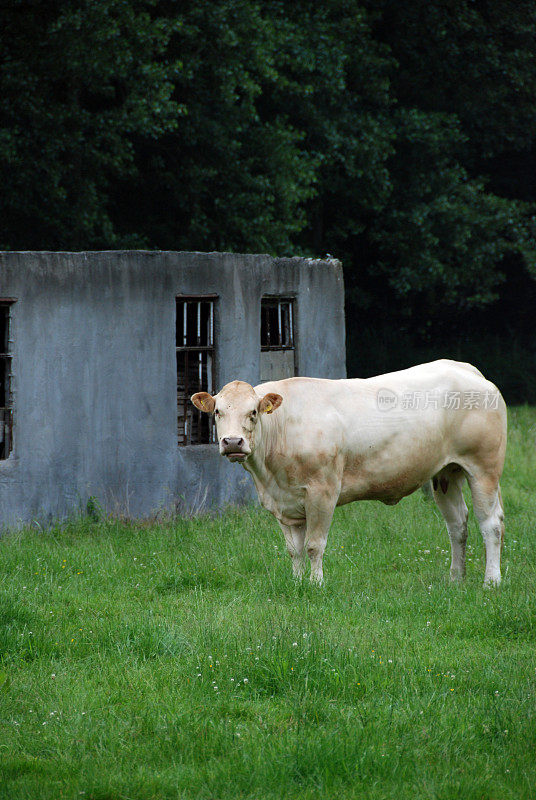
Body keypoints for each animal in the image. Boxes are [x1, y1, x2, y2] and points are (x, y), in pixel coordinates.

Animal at [192, 360, 506, 584]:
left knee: (491, 523)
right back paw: (455, 579)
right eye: (218, 412)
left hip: (483, 468)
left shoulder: (322, 492)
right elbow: (294, 549)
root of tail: (466, 369)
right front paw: (296, 582)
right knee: (457, 525)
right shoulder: (284, 502)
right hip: (446, 472)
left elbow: (314, 545)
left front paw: (315, 584)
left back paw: (491, 581)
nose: (233, 442)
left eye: (254, 412)